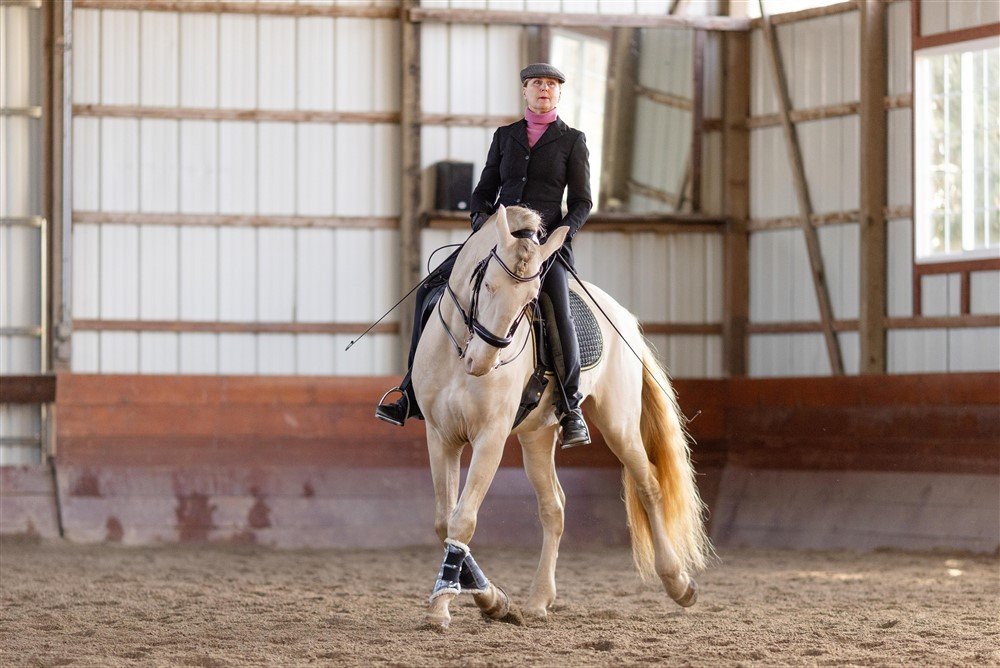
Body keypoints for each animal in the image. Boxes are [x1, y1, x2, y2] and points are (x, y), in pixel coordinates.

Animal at [411, 205, 711, 628]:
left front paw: (449, 606)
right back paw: (538, 601)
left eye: (531, 297)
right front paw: (490, 599)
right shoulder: (441, 436)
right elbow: (444, 521)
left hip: (619, 424)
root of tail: (624, 316)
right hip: (536, 436)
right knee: (554, 507)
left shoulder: (490, 438)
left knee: (648, 485)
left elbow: (463, 519)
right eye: (488, 285)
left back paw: (679, 584)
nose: (482, 362)